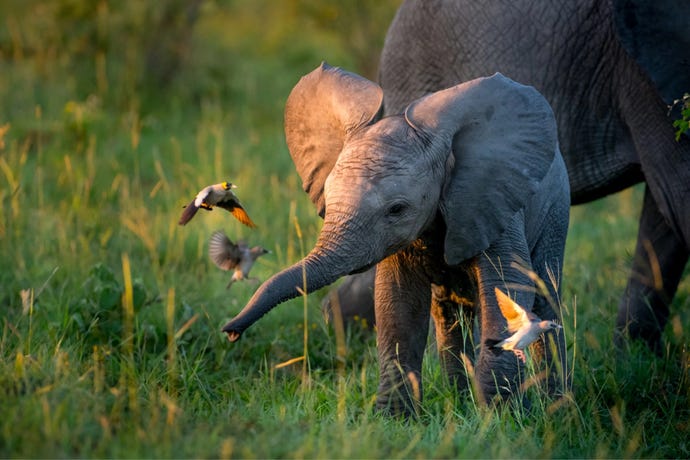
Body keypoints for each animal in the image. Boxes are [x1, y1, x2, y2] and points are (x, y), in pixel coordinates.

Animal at [222, 63, 568, 416]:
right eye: (328, 200)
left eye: (397, 209)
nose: (230, 331)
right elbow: (398, 304)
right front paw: (395, 419)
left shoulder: (491, 204)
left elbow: (506, 287)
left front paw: (501, 416)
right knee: (449, 314)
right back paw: (461, 402)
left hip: (555, 212)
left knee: (544, 297)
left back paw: (556, 408)